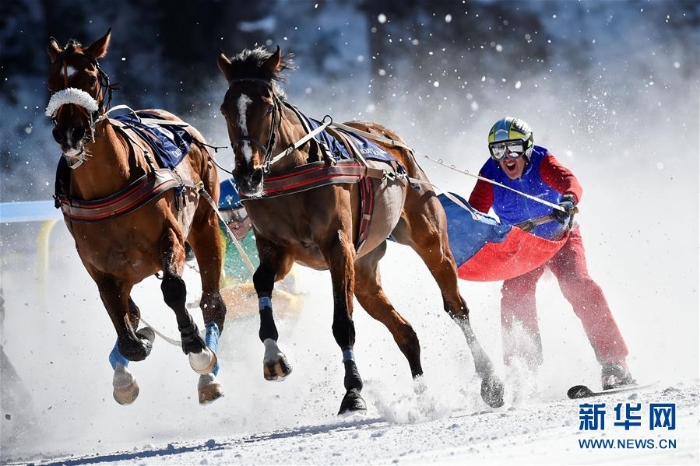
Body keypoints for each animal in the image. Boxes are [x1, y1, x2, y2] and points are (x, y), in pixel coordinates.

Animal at [46, 30, 227, 404]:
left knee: (213, 303)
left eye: (90, 79)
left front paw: (194, 343)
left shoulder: (169, 236)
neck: (108, 190)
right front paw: (140, 340)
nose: (69, 133)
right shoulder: (99, 266)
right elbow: (123, 320)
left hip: (204, 223)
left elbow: (173, 288)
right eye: (52, 82)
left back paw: (208, 372)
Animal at [217, 45, 504, 414]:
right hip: (365, 270)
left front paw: (353, 390)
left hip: (427, 233)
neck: (293, 173)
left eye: (267, 105)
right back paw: (424, 397)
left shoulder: (338, 247)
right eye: (226, 108)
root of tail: (390, 139)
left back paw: (490, 381)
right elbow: (261, 281)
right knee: (405, 332)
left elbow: (343, 324)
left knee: (456, 307)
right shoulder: (277, 247)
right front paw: (273, 357)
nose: (247, 175)